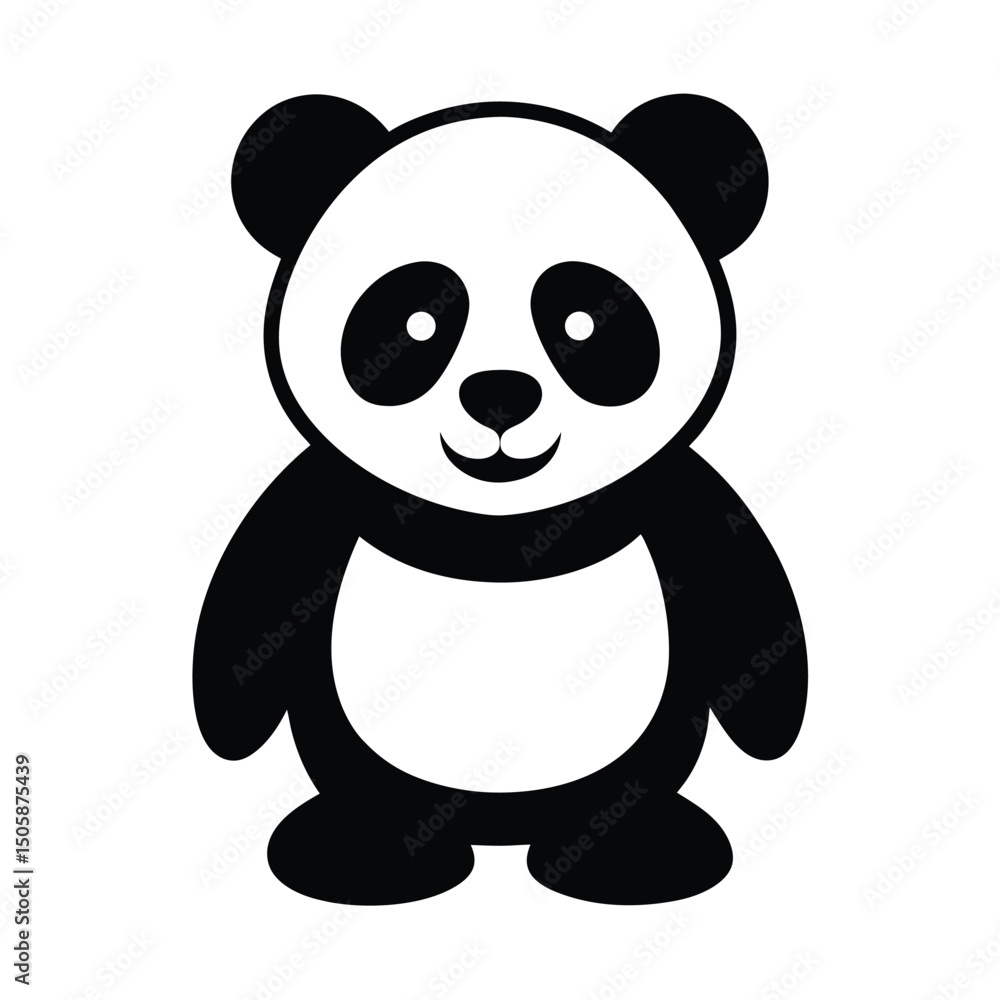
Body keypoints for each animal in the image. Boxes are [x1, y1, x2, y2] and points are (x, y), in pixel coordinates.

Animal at [194, 94, 807, 906]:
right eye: (416, 319)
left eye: (584, 318)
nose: (500, 397)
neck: (497, 527)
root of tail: (496, 829)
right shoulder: (320, 495)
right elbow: (259, 584)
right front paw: (224, 728)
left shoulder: (675, 493)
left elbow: (741, 584)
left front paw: (775, 727)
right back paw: (371, 851)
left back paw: (629, 851)